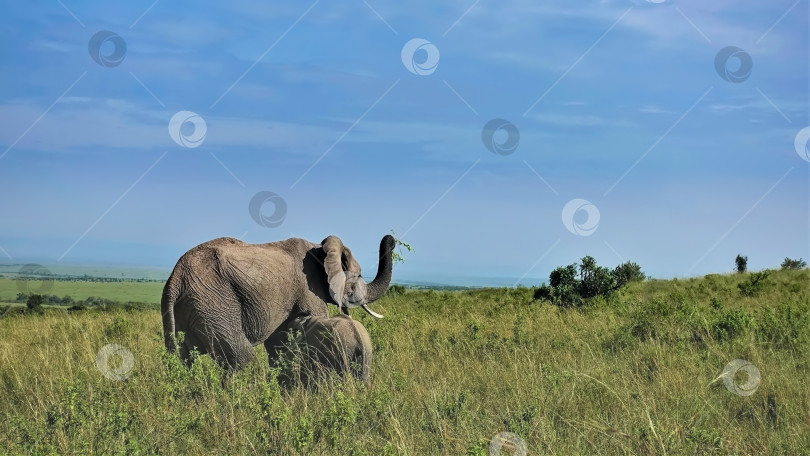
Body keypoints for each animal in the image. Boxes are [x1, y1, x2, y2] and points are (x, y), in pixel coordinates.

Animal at [159, 235, 392, 370]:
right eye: (359, 275)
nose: (390, 238)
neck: (319, 247)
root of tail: (176, 278)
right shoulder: (309, 288)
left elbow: (278, 342)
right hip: (213, 302)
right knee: (242, 359)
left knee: (184, 361)